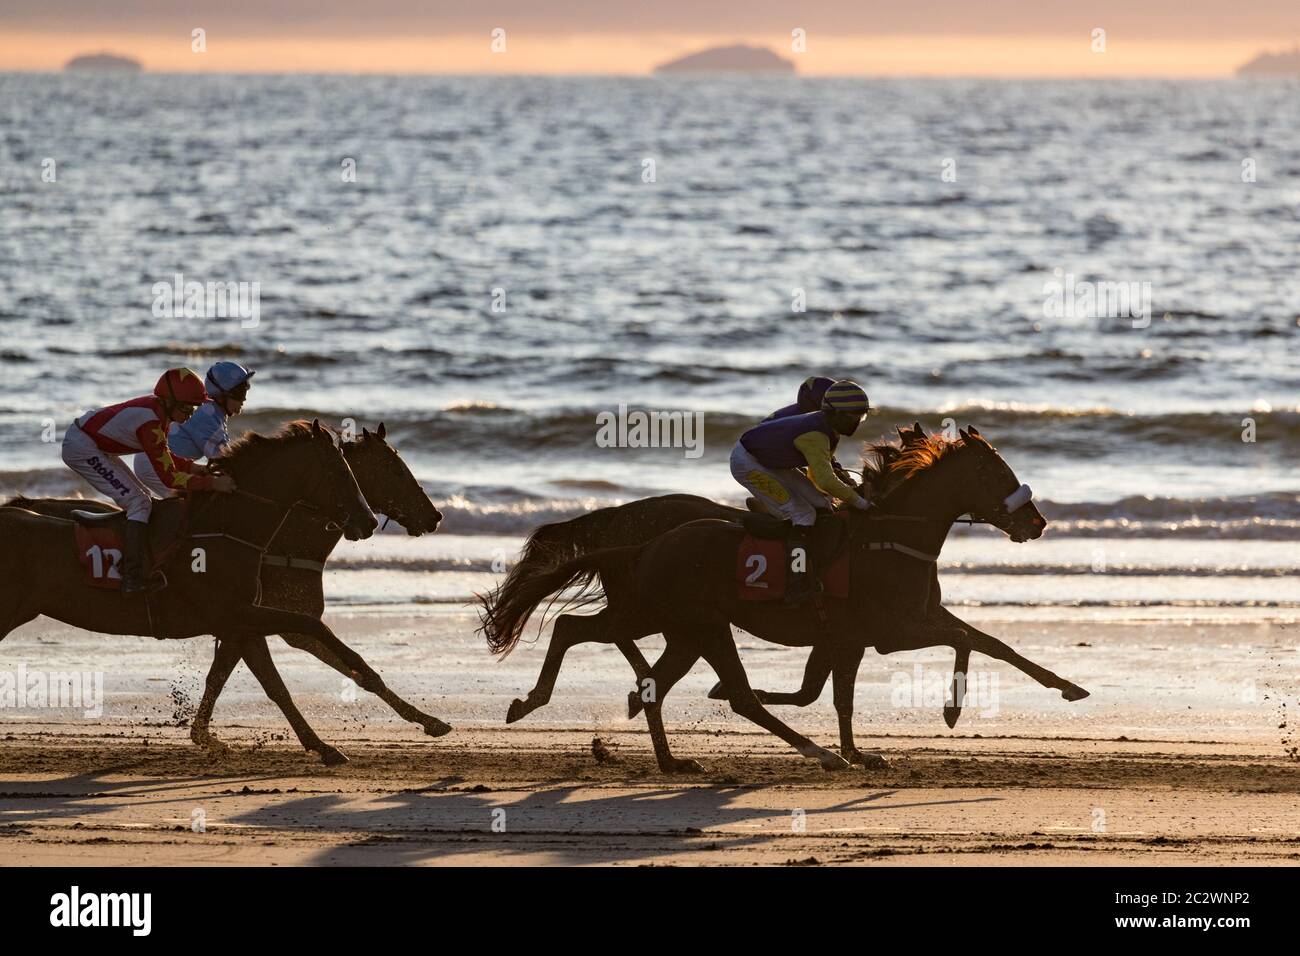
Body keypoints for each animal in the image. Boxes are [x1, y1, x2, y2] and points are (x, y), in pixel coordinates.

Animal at [478, 429, 1086, 775]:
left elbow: (990, 643)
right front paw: (951, 710)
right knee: (577, 630)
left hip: (688, 628)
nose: (1036, 521)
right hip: (672, 617)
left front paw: (1069, 686)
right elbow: (961, 642)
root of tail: (642, 541)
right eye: (992, 470)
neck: (890, 535)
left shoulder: (872, 630)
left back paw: (673, 760)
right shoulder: (893, 631)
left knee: (651, 678)